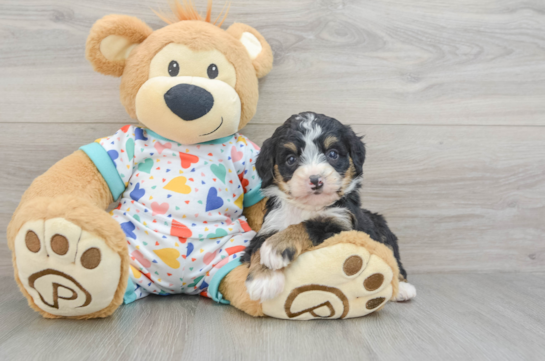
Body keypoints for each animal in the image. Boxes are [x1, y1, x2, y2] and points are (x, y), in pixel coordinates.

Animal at [240, 112, 414, 300]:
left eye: (332, 154)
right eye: (291, 159)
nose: (316, 180)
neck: (308, 207)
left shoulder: (342, 226)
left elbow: (307, 226)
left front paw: (276, 247)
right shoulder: (270, 225)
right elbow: (257, 247)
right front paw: (263, 281)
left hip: (383, 230)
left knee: (395, 261)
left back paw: (403, 289)